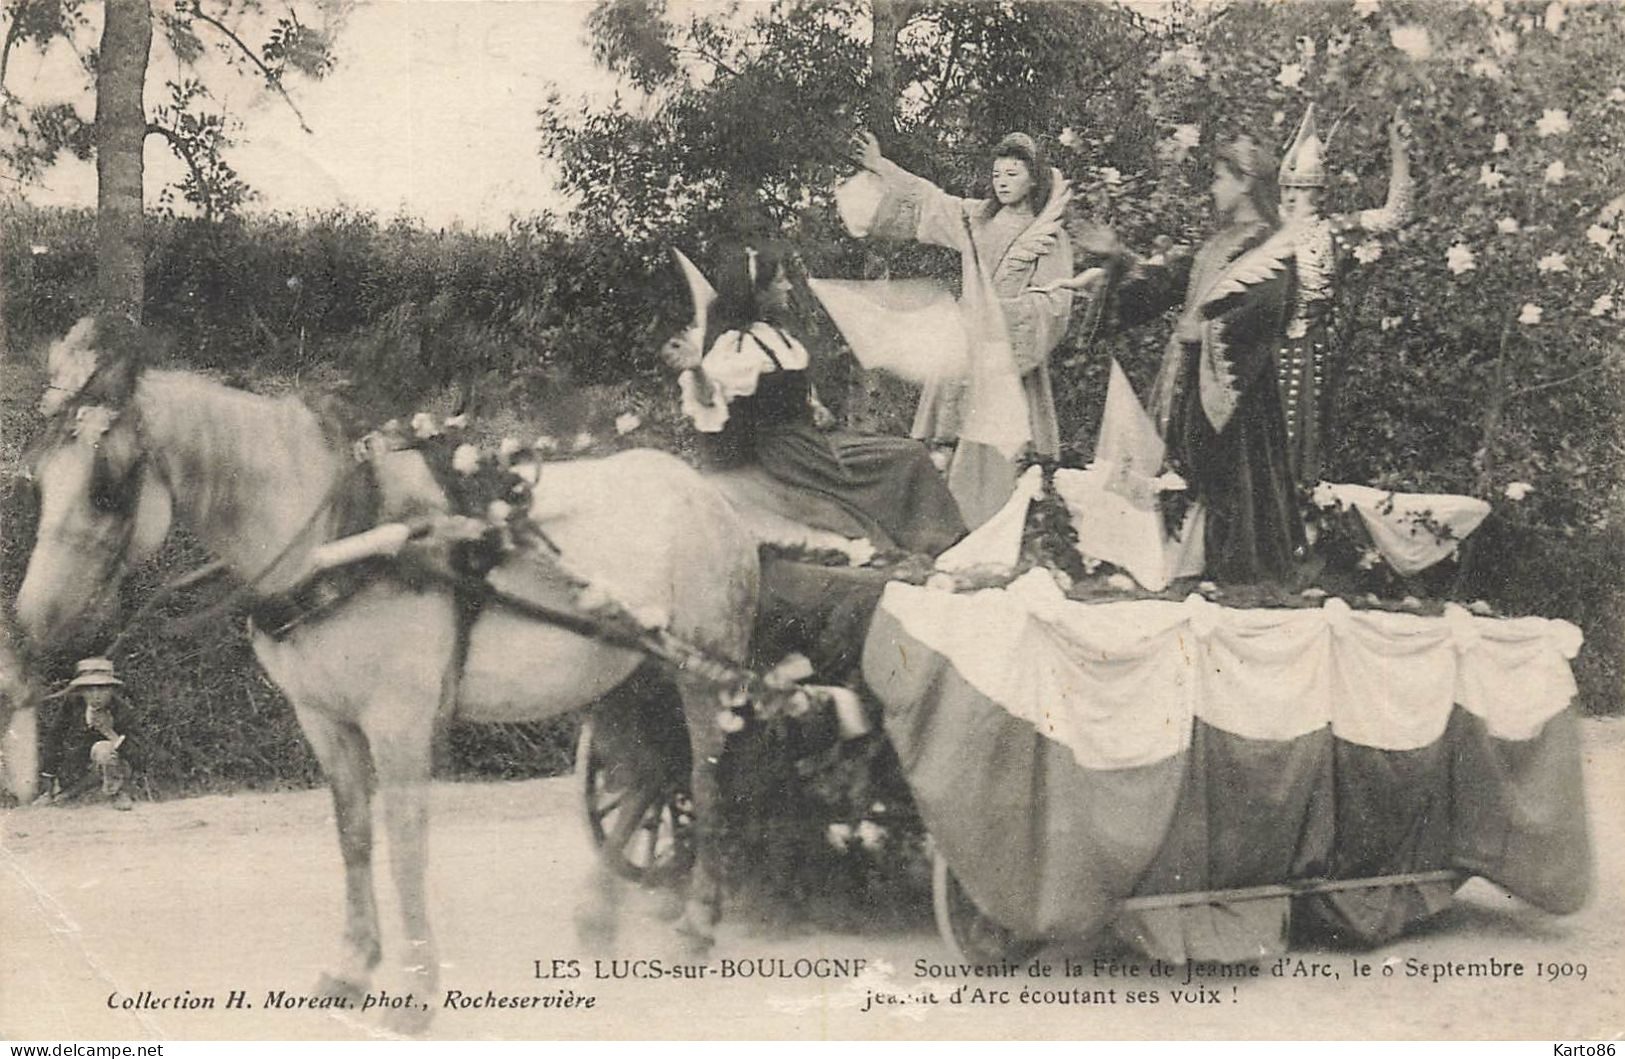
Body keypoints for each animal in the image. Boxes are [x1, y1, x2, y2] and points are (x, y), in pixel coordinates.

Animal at [15, 318, 757, 1033]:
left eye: (106, 489)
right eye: (39, 480)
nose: (30, 623)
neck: (338, 540)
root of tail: (709, 495)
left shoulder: (398, 721)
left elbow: (405, 848)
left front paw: (416, 991)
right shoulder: (323, 719)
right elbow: (353, 837)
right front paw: (351, 967)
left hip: (701, 675)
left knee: (703, 779)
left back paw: (696, 926)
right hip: (622, 677)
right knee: (646, 775)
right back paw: (598, 916)